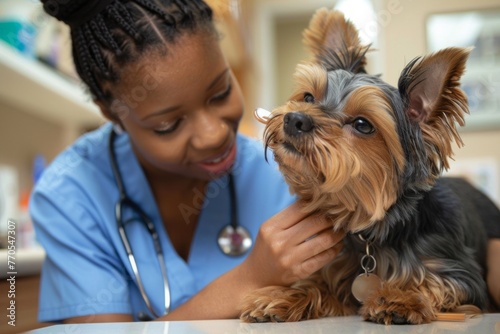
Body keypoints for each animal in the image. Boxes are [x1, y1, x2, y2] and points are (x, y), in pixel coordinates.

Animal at [240, 8, 490, 326]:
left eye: (362, 125)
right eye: (308, 97)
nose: (294, 119)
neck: (373, 233)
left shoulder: (463, 276)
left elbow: (434, 283)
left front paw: (400, 298)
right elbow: (318, 284)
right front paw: (282, 297)